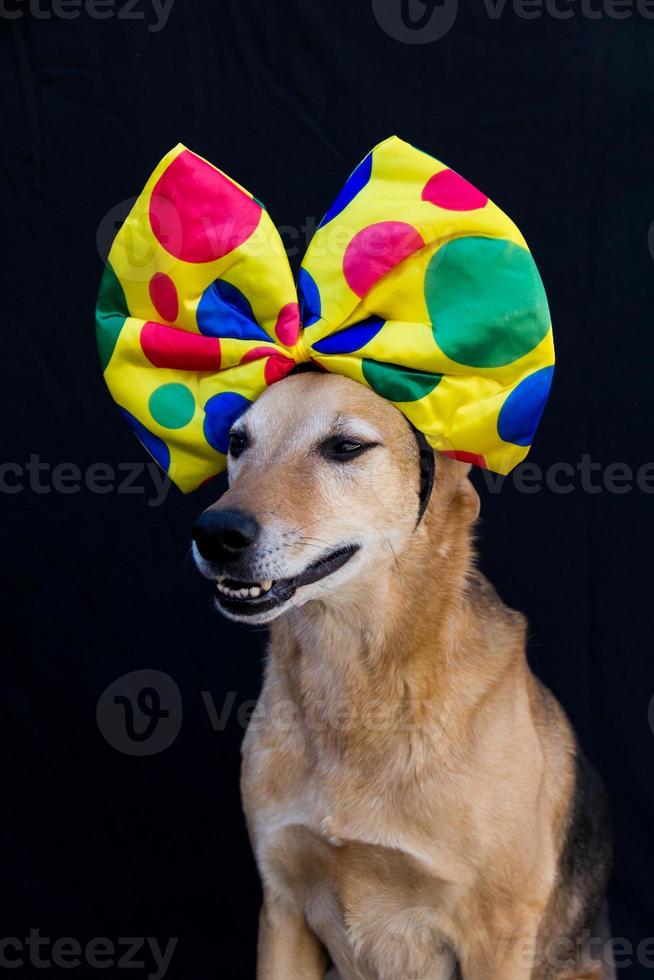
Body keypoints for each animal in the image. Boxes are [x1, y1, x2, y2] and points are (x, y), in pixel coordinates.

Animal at [192, 372, 612, 976]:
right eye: (237, 442)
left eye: (346, 447)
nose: (215, 533)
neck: (357, 682)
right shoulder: (283, 911)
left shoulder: (498, 934)